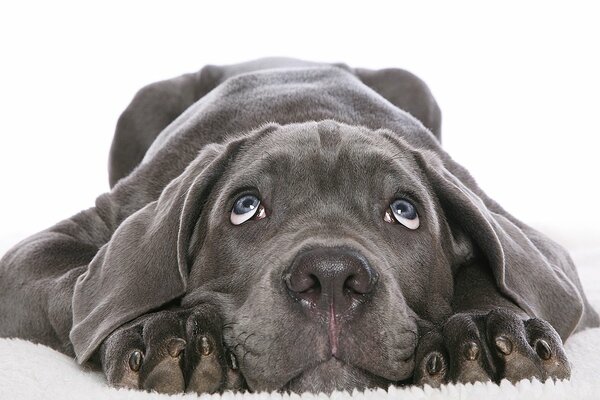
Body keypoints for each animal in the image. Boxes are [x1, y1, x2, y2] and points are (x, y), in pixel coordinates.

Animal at [0, 59, 596, 394]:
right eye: (244, 207)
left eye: (405, 212)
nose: (331, 278)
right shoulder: (52, 247)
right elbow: (85, 289)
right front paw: (169, 331)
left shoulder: (540, 250)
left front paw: (487, 328)